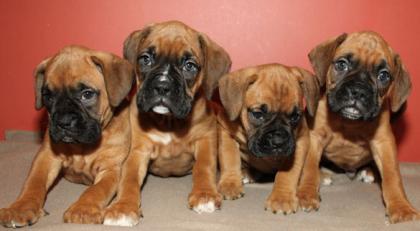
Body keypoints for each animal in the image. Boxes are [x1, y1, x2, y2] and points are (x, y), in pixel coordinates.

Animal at [0, 45, 134, 227]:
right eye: (48, 96)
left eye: (87, 94)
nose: (63, 122)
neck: (83, 148)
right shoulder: (46, 158)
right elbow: (33, 184)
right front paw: (20, 208)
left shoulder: (110, 169)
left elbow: (96, 190)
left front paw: (83, 209)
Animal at [103, 20, 231, 226]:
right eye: (145, 59)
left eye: (189, 66)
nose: (162, 86)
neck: (169, 122)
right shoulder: (138, 151)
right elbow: (128, 179)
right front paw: (123, 208)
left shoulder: (205, 140)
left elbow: (204, 167)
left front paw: (204, 195)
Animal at [217, 63, 318, 215]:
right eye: (258, 114)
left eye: (295, 116)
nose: (278, 142)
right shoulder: (226, 132)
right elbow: (230, 158)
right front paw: (230, 184)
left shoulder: (300, 142)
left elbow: (288, 172)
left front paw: (282, 198)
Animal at [296, 31, 420, 223]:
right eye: (341, 65)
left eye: (383, 76)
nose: (359, 91)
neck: (349, 122)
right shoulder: (315, 137)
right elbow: (309, 167)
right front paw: (306, 194)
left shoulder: (383, 143)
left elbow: (393, 176)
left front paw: (401, 207)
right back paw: (323, 176)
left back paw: (369, 172)